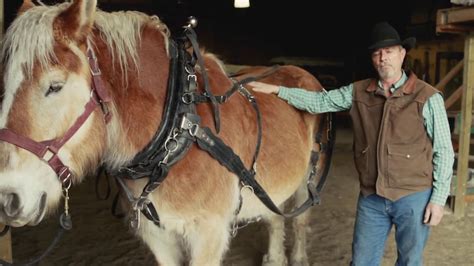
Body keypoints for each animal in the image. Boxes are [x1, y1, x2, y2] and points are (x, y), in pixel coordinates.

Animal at [0, 1, 334, 264]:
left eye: (54, 86)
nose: (7, 199)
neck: (179, 131)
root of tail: (300, 72)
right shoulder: (157, 236)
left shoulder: (209, 233)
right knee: (275, 217)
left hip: (308, 180)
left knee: (299, 221)